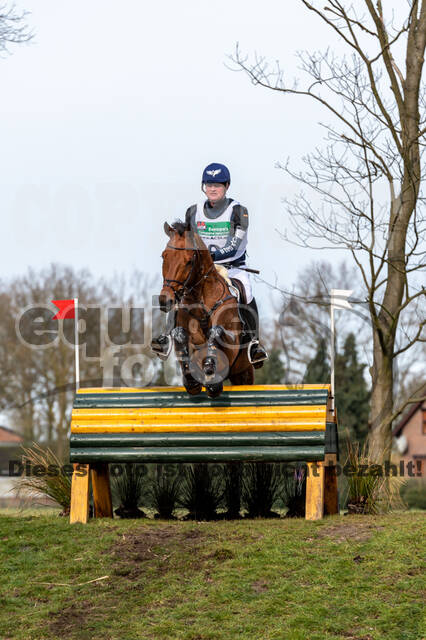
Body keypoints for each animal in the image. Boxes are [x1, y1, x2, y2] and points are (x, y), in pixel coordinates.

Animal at [159, 220, 253, 398]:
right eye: (164, 256)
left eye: (189, 261)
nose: (165, 300)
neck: (200, 301)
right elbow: (180, 336)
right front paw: (191, 378)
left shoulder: (232, 342)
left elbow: (216, 333)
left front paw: (211, 371)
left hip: (244, 372)